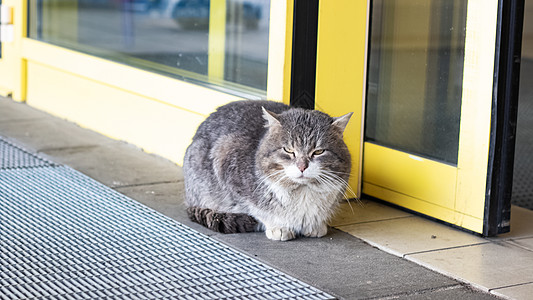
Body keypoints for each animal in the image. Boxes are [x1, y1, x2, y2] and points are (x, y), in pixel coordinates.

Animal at [181, 101, 352, 241]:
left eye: (318, 152)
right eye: (288, 150)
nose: (302, 166)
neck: (302, 191)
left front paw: (316, 225)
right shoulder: (226, 165)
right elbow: (257, 210)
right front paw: (279, 227)